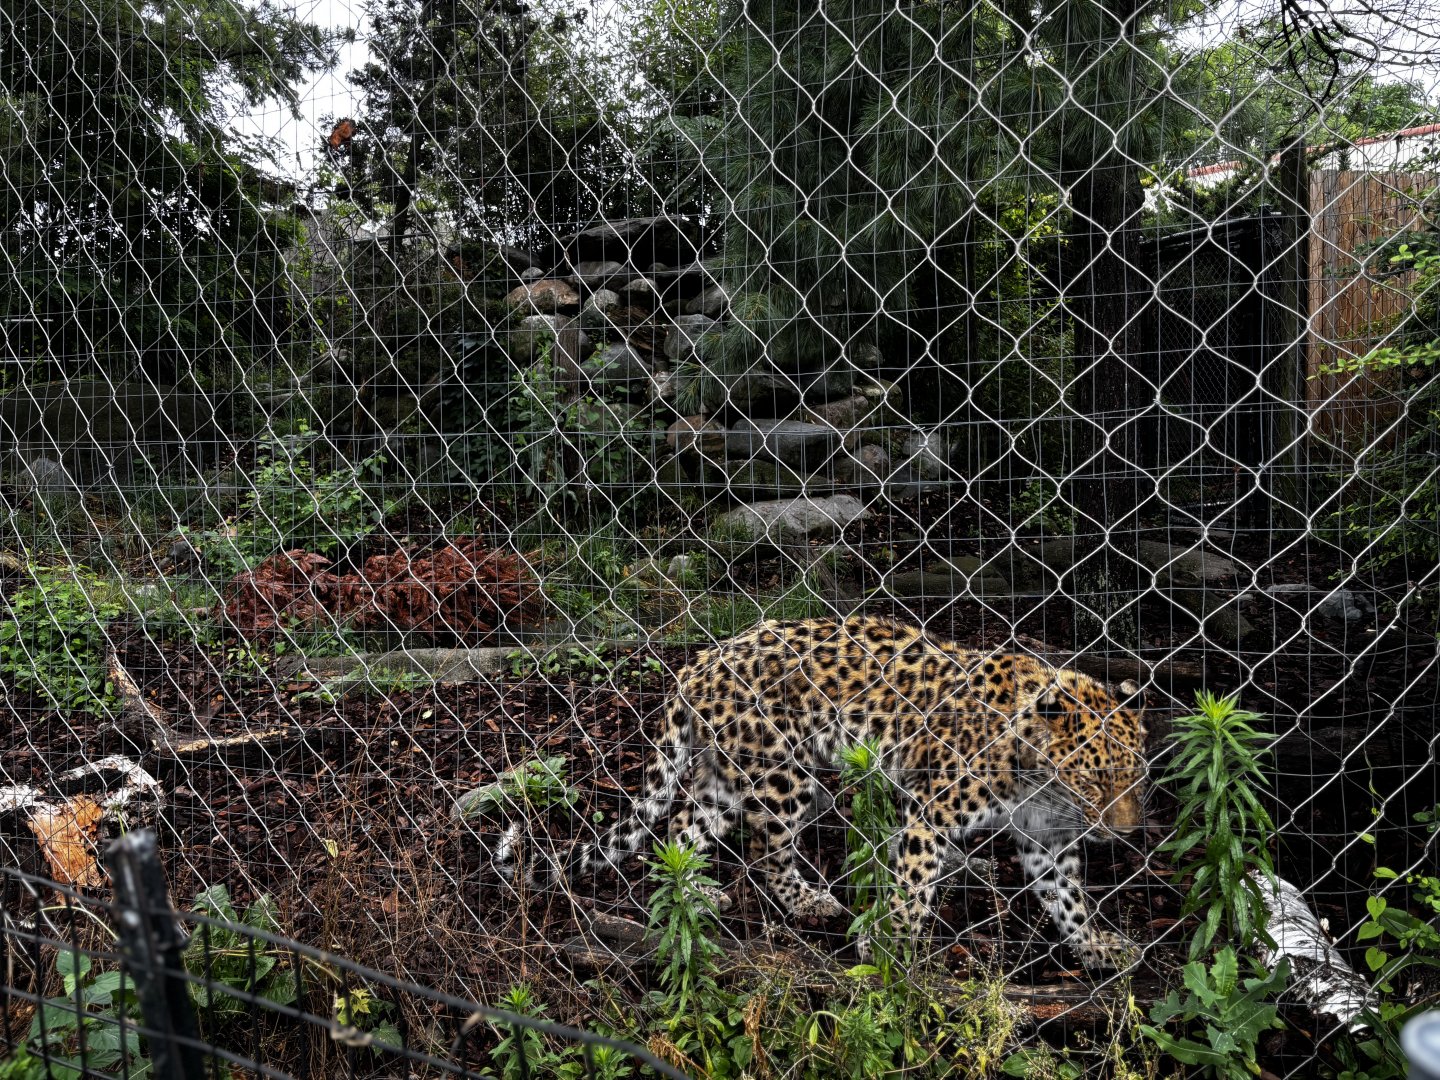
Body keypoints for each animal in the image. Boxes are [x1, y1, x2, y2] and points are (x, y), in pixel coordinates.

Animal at [495, 615, 1149, 972]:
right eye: (1095, 779)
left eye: (1135, 777)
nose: (1125, 833)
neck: (1039, 779)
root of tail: (699, 663)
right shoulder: (930, 810)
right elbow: (914, 883)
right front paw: (888, 944)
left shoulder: (1047, 838)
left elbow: (1068, 898)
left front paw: (1097, 948)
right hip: (783, 772)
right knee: (765, 849)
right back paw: (810, 903)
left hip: (722, 778)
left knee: (680, 830)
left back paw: (697, 894)